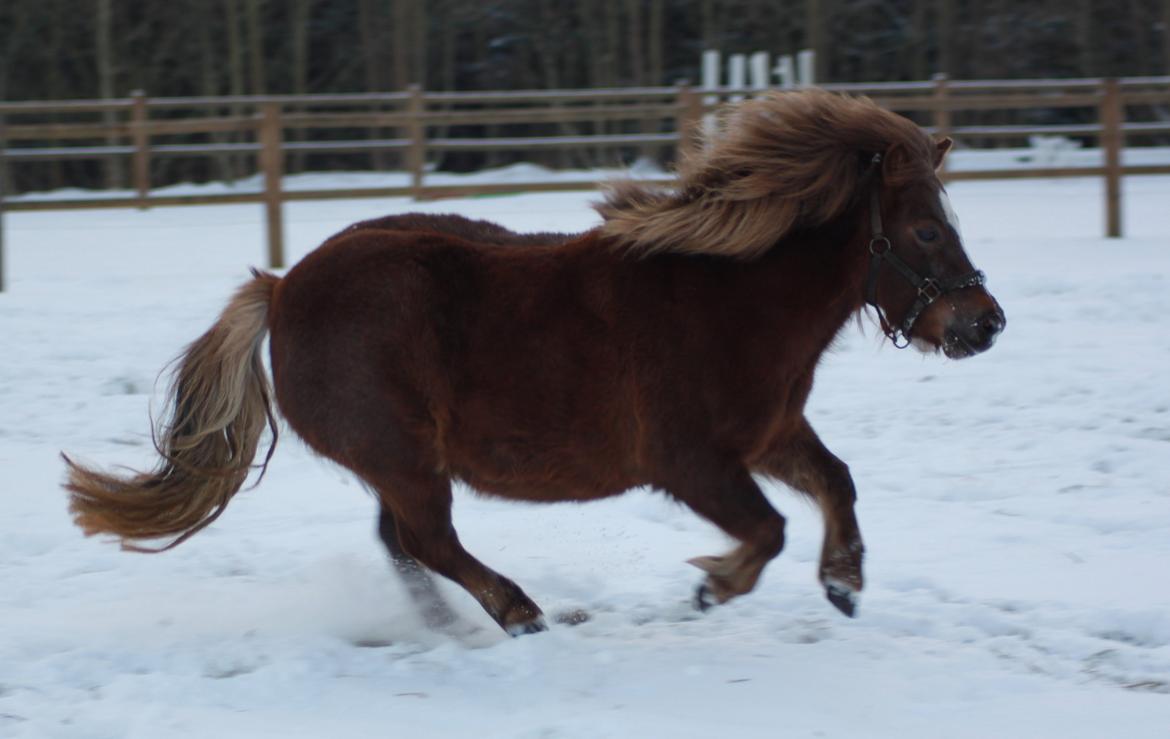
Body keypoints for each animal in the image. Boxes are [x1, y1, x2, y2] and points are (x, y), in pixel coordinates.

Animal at [61, 89, 1006, 636]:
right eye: (926, 229)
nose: (984, 323)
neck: (731, 296)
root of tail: (283, 286)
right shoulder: (691, 462)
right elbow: (768, 528)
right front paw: (714, 585)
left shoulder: (770, 432)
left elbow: (836, 479)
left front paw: (843, 582)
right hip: (402, 457)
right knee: (429, 540)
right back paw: (521, 614)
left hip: (401, 464)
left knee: (404, 545)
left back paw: (463, 627)